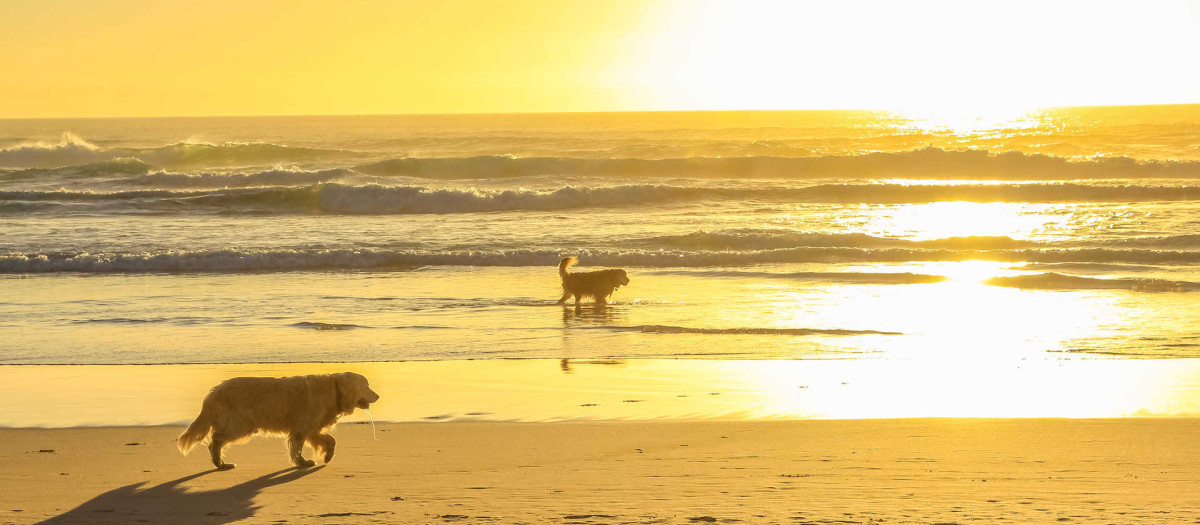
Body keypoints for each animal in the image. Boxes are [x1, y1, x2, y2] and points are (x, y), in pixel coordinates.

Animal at [175, 371, 374, 469]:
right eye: (367, 386)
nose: (378, 396)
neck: (334, 389)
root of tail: (214, 392)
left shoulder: (311, 428)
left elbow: (331, 440)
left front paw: (327, 456)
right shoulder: (301, 429)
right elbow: (297, 449)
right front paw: (302, 463)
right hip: (240, 425)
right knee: (215, 440)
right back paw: (220, 463)